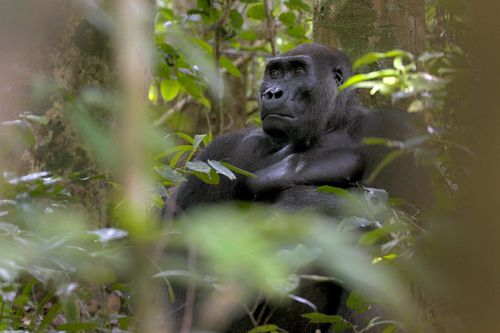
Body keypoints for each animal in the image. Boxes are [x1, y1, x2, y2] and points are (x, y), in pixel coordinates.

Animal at [171, 42, 430, 330]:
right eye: (274, 73)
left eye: (297, 71)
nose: (272, 92)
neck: (331, 126)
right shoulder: (227, 151)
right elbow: (177, 243)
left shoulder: (393, 128)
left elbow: (417, 225)